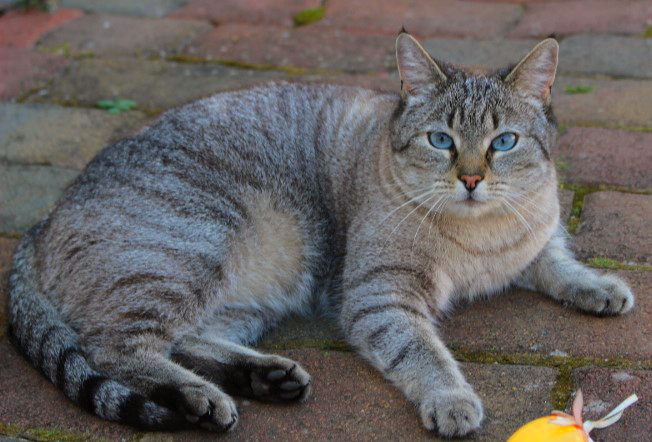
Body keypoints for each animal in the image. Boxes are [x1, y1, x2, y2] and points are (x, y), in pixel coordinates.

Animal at [7, 32, 636, 436]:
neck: (481, 237)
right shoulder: (380, 297)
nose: (472, 178)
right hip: (198, 248)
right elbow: (425, 354)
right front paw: (453, 400)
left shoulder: (538, 239)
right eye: (441, 141)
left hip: (245, 295)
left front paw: (601, 288)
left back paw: (264, 377)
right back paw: (201, 399)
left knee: (186, 339)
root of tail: (40, 222)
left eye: (503, 142)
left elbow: (559, 262)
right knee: (115, 345)